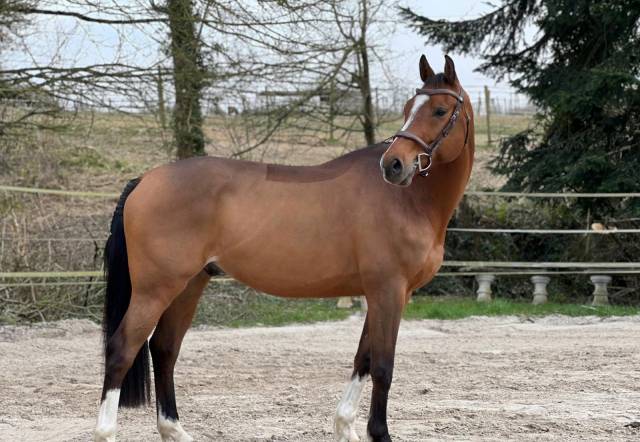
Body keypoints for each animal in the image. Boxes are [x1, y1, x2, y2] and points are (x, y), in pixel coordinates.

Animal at [94, 54, 474, 442]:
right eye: (410, 108)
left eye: (440, 110)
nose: (393, 165)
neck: (408, 201)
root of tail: (146, 179)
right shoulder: (388, 291)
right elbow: (383, 366)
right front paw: (378, 433)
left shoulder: (383, 293)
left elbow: (363, 359)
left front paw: (345, 425)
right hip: (155, 289)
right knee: (122, 349)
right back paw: (106, 431)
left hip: (189, 285)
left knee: (164, 348)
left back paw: (174, 430)